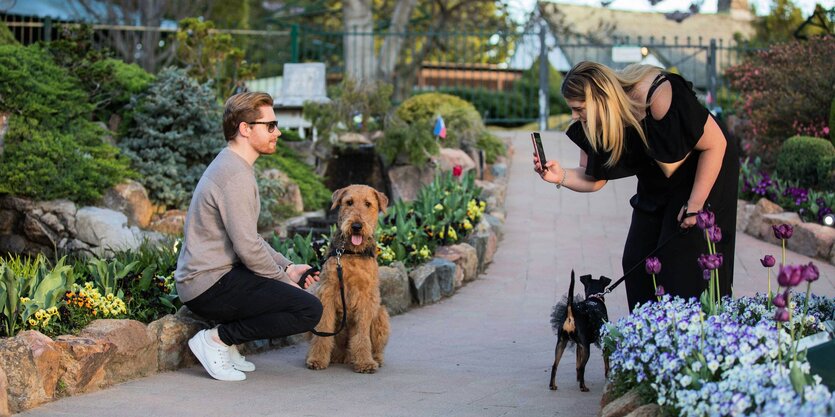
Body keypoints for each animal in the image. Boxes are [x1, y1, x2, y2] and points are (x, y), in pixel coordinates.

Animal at [306, 184, 392, 372]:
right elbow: (324, 331)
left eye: (368, 204)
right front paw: (317, 359)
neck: (352, 252)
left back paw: (374, 359)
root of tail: (345, 357)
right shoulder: (327, 293)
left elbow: (361, 334)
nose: (357, 226)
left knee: (376, 347)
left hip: (381, 314)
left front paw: (365, 363)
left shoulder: (366, 297)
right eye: (349, 202)